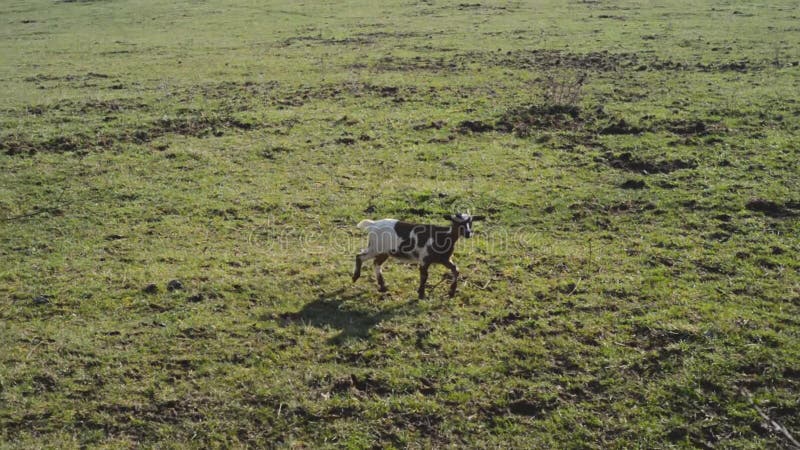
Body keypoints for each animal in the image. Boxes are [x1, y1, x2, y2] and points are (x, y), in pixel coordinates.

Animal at [350, 212, 482, 298]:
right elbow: (424, 276)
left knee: (376, 263)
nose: (468, 233)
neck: (443, 236)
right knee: (360, 256)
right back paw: (355, 277)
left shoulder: (444, 259)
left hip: (384, 251)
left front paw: (452, 292)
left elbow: (456, 270)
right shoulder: (424, 259)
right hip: (375, 247)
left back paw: (383, 287)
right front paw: (421, 293)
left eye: (471, 222)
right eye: (455, 222)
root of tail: (373, 224)